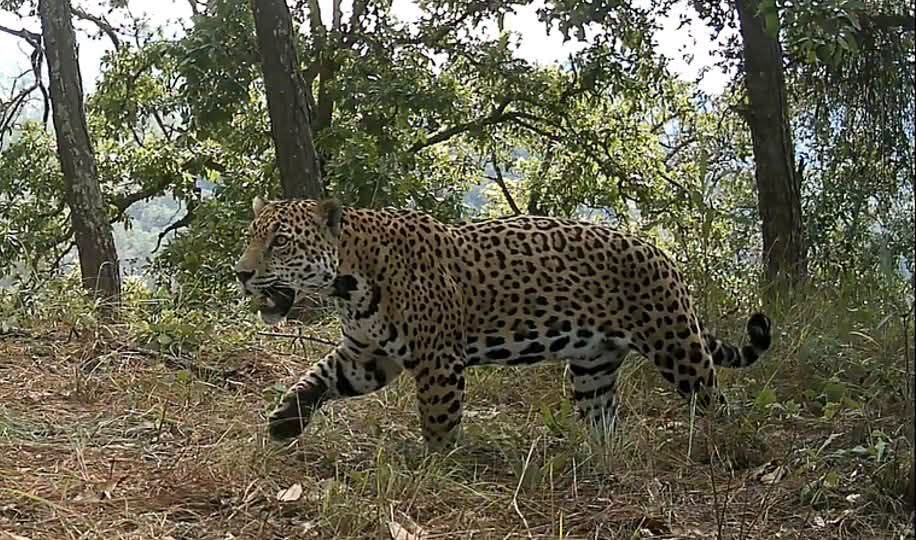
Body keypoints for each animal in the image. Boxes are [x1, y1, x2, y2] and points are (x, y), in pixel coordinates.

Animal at [235, 197, 773, 449]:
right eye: (251, 236)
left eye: (280, 241)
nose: (241, 273)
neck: (348, 280)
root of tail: (663, 255)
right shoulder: (367, 355)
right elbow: (317, 377)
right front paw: (285, 421)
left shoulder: (437, 359)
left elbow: (438, 419)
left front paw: (435, 465)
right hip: (591, 367)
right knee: (604, 418)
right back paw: (600, 458)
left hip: (676, 346)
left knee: (714, 398)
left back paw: (729, 444)